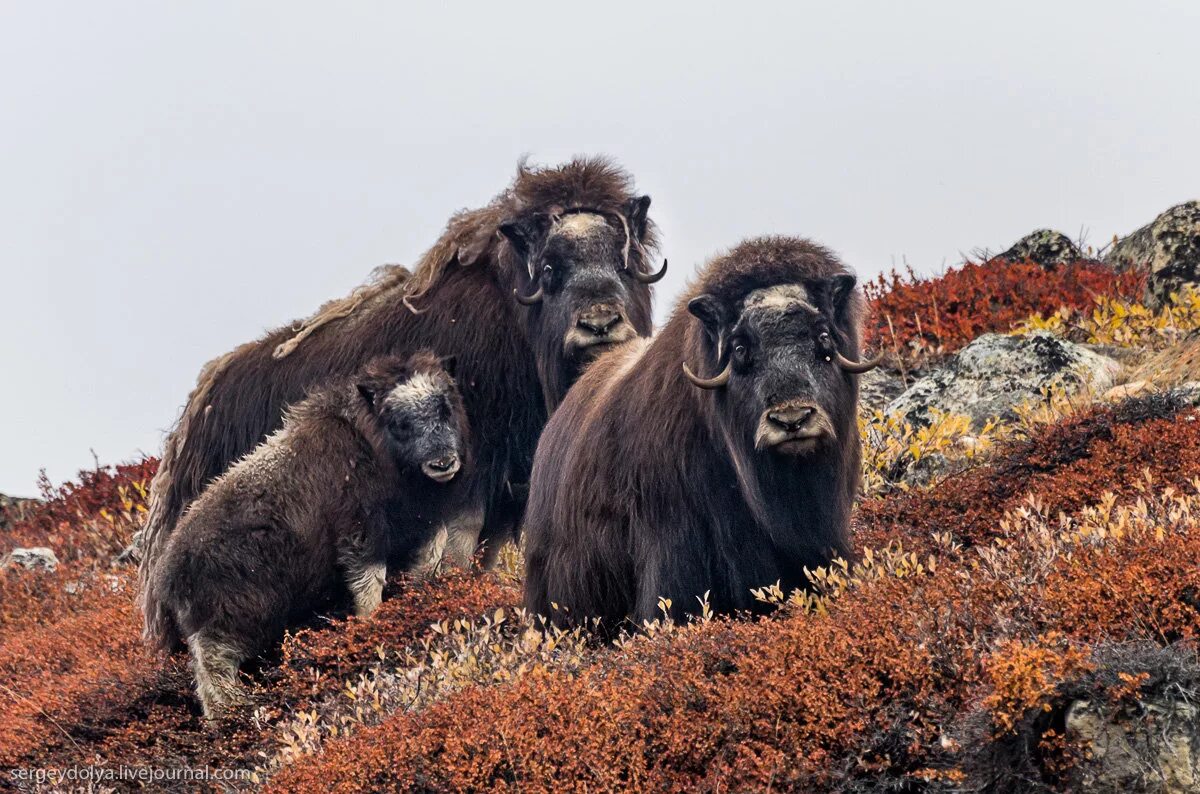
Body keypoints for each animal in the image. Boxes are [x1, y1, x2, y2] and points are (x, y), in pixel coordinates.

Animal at [144, 352, 468, 719]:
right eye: (398, 422)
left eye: (445, 407)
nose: (443, 464)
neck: (371, 446)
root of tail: (167, 571)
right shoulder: (361, 534)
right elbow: (369, 584)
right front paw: (373, 626)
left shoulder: (421, 532)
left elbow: (422, 569)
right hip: (235, 617)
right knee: (212, 667)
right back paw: (235, 712)